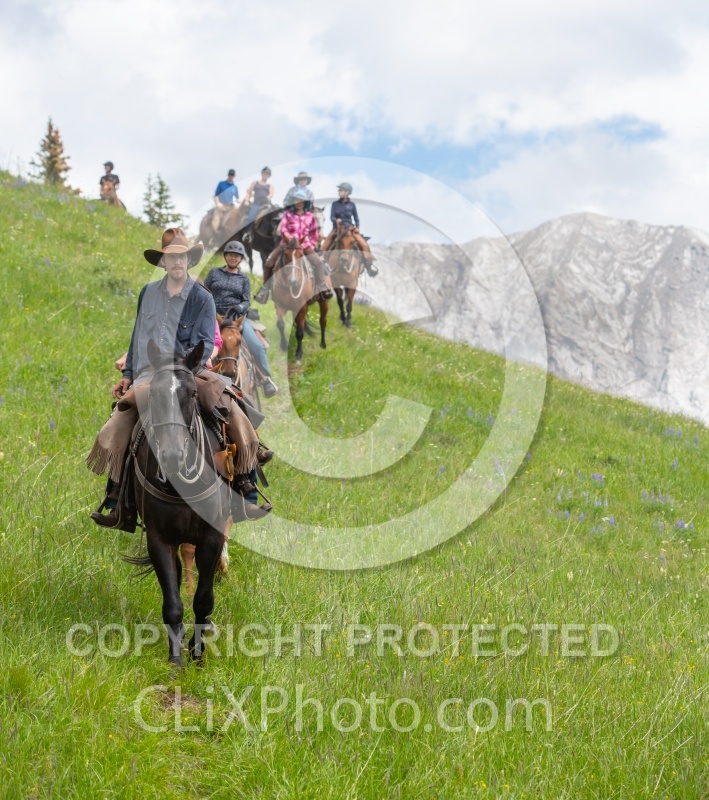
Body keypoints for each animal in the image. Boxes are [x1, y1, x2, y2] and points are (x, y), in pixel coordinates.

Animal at [127, 340, 231, 667]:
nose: (172, 456)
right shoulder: (159, 540)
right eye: (154, 394)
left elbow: (203, 600)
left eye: (193, 394)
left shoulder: (212, 537)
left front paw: (198, 656)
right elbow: (172, 603)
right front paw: (176, 662)